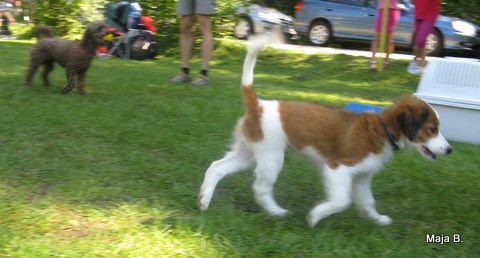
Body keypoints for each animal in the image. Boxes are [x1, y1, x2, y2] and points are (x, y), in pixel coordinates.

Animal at [197, 35, 452, 226]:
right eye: (432, 129)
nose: (449, 150)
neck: (384, 129)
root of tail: (258, 104)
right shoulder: (338, 167)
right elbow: (341, 201)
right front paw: (315, 216)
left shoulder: (362, 177)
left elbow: (367, 202)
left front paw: (377, 219)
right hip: (271, 156)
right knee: (260, 187)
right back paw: (276, 212)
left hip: (248, 152)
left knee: (216, 167)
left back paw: (203, 200)